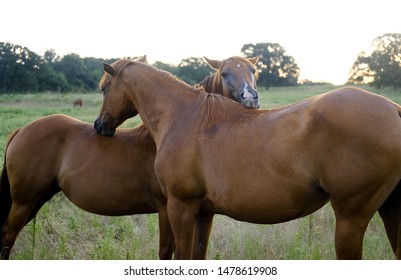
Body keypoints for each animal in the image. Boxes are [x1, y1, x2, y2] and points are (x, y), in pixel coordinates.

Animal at [0, 55, 258, 260]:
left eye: (253, 71)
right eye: (225, 73)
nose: (251, 98)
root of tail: (20, 131)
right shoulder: (168, 209)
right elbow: (167, 252)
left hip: (36, 199)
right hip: (24, 201)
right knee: (7, 236)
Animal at [94, 59, 400, 260]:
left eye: (104, 88)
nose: (100, 126)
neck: (184, 115)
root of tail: (394, 109)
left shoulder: (180, 207)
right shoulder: (203, 212)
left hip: (351, 218)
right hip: (389, 210)